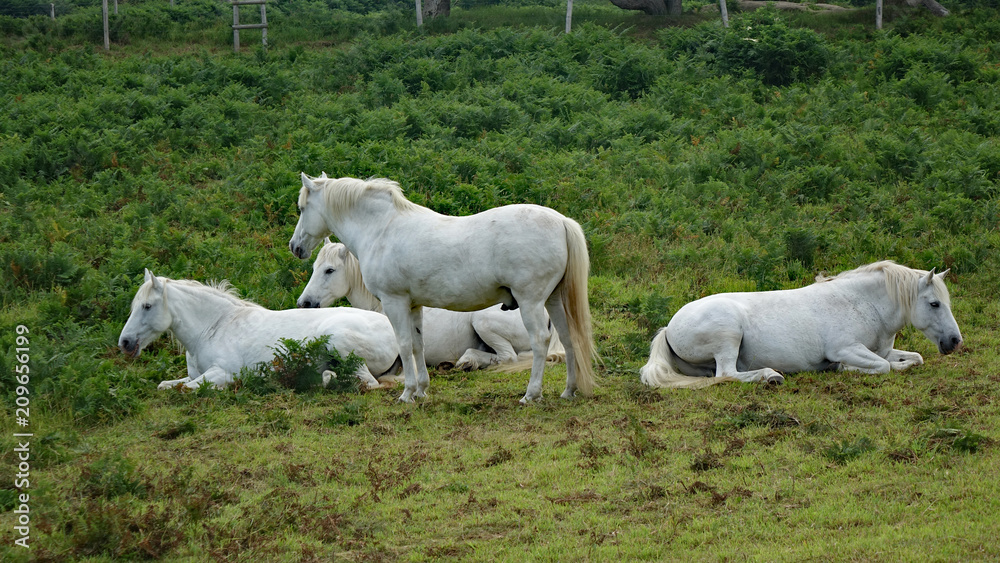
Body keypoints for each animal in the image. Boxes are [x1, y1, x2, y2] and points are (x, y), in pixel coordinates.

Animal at [118, 269, 400, 390]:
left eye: (147, 306)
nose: (125, 342)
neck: (214, 328)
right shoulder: (192, 375)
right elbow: (166, 385)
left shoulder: (221, 373)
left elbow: (187, 389)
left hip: (337, 340)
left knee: (369, 383)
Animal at [640, 261, 963, 389]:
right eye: (935, 303)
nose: (955, 341)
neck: (862, 303)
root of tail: (669, 328)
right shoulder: (845, 349)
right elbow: (883, 367)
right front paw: (845, 370)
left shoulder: (880, 350)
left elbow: (915, 358)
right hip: (728, 335)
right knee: (728, 374)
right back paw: (770, 376)